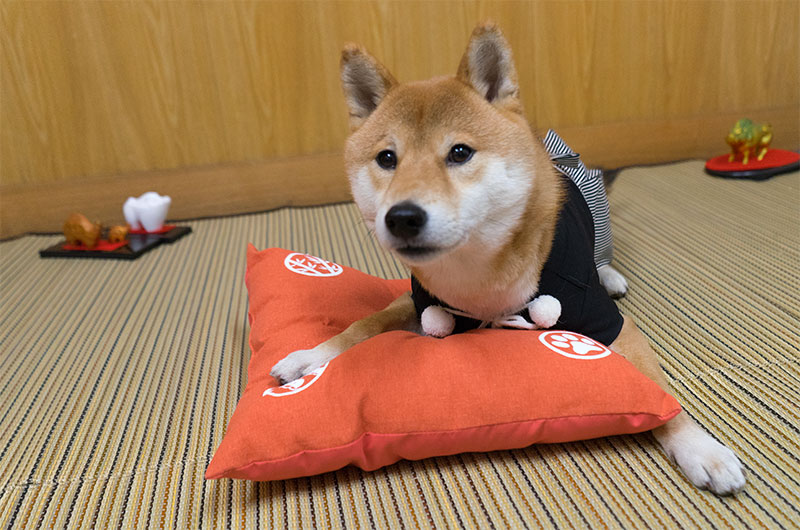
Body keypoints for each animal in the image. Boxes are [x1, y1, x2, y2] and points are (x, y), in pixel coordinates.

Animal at [272, 20, 748, 490]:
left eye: (459, 152)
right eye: (387, 158)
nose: (402, 217)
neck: (478, 279)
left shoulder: (613, 326)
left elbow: (660, 394)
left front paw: (699, 447)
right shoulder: (417, 298)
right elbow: (361, 326)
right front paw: (309, 358)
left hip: (599, 220)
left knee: (602, 256)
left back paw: (610, 275)